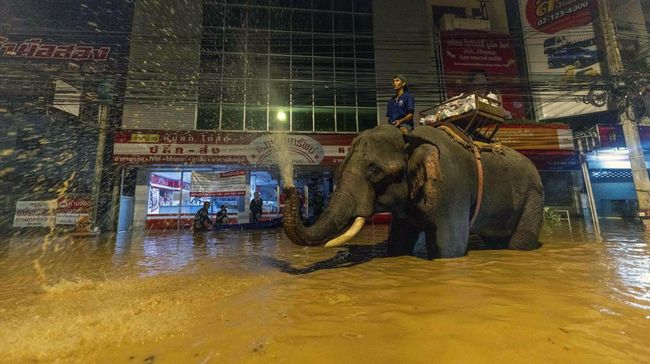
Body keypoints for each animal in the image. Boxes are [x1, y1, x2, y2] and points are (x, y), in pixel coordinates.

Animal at [282, 125, 540, 258]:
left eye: (374, 170)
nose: (289, 187)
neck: (410, 135)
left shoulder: (451, 186)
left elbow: (449, 248)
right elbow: (399, 241)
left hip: (534, 195)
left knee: (520, 241)